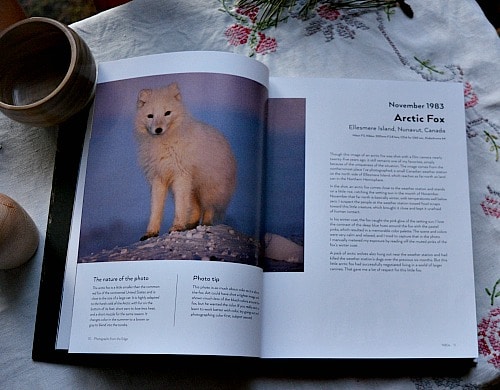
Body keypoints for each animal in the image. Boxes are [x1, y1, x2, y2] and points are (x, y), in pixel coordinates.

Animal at [135, 84, 236, 239]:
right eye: (150, 116)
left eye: (167, 113)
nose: (158, 129)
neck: (164, 144)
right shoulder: (158, 178)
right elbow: (156, 208)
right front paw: (151, 232)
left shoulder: (181, 175)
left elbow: (180, 206)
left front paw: (177, 227)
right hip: (192, 189)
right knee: (196, 208)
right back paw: (191, 224)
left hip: (208, 187)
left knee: (209, 207)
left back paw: (205, 224)